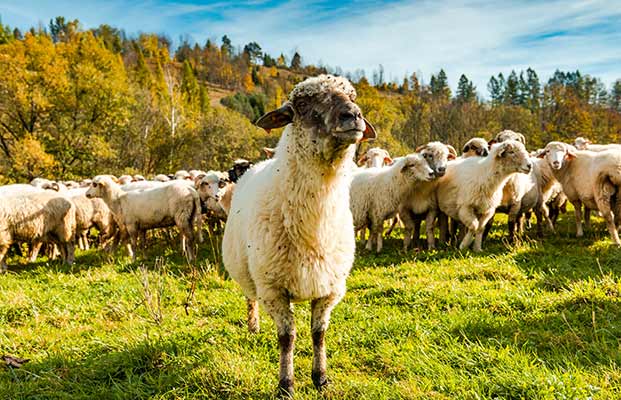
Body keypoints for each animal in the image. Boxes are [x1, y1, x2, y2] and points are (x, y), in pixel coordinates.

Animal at [223, 73, 378, 396]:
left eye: (353, 97)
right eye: (303, 104)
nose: (353, 115)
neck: (314, 229)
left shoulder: (329, 288)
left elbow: (318, 334)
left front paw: (321, 378)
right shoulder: (274, 289)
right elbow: (287, 338)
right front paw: (286, 384)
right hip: (250, 275)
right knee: (250, 298)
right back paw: (253, 326)